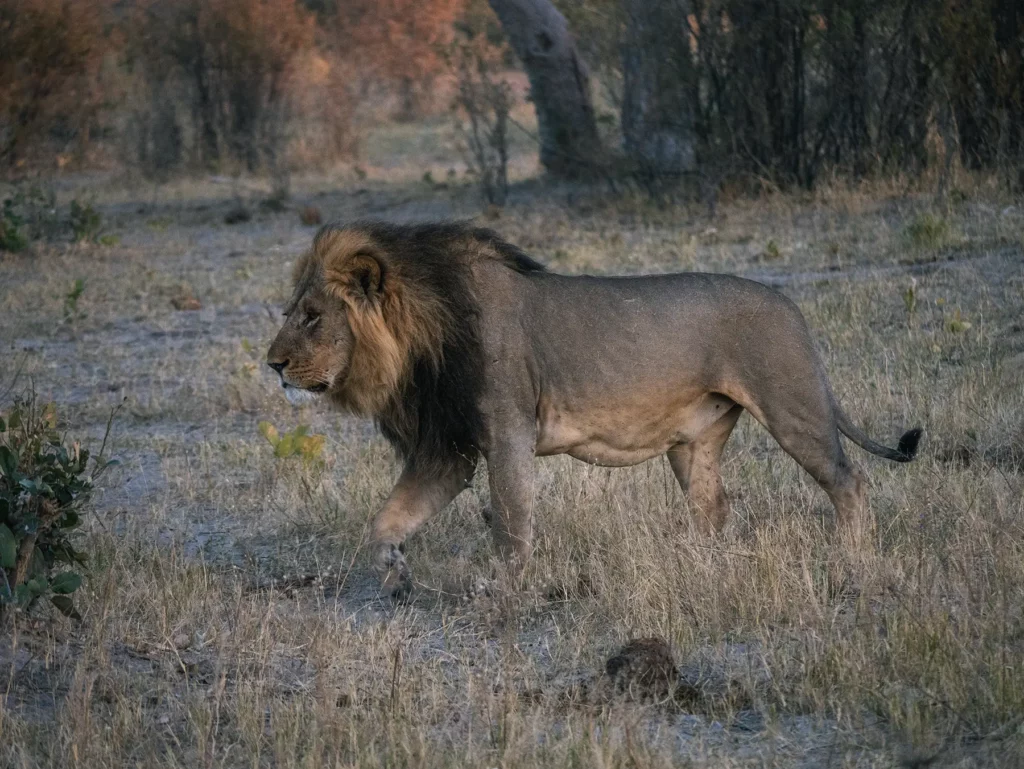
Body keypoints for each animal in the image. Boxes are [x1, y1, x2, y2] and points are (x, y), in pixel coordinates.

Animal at [267, 221, 922, 598]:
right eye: (291, 312)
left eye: (313, 317)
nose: (272, 365)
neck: (423, 337)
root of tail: (792, 305)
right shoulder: (449, 449)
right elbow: (386, 521)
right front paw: (396, 573)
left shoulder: (506, 430)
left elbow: (511, 518)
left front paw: (502, 587)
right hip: (695, 441)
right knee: (714, 506)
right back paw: (696, 564)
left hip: (793, 407)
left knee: (849, 480)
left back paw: (852, 558)